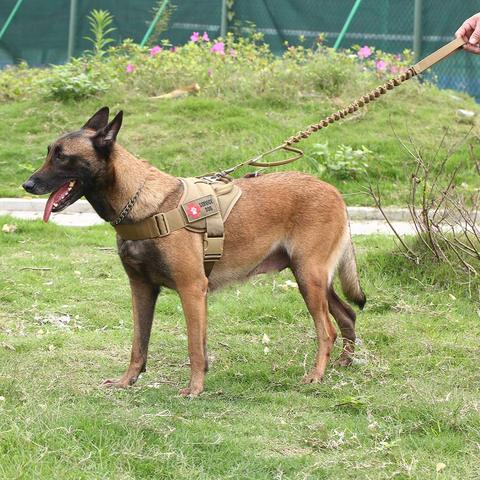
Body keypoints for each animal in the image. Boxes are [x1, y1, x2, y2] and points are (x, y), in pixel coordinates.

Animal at [22, 109, 366, 398]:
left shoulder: (191, 289)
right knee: (347, 314)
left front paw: (195, 389)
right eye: (49, 152)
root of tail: (334, 191)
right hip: (312, 278)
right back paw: (343, 363)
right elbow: (138, 344)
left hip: (309, 277)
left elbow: (194, 348)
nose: (27, 184)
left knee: (327, 330)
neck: (142, 203)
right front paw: (126, 381)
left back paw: (316, 375)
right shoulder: (141, 289)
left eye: (63, 157)